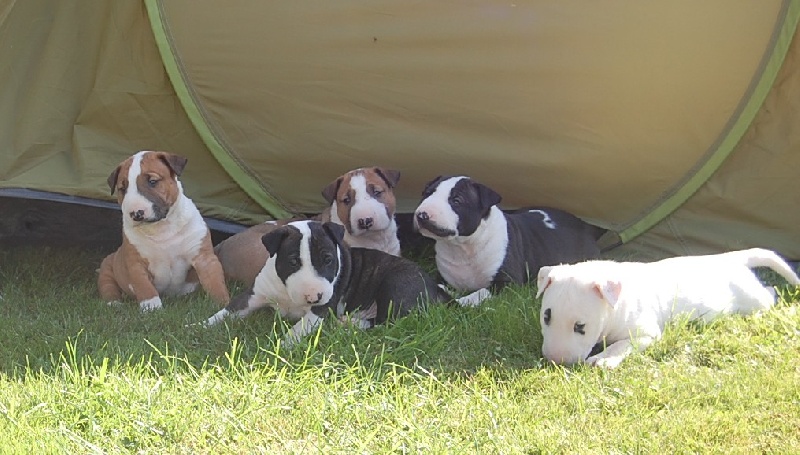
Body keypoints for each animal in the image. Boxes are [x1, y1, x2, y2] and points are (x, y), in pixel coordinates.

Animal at [96, 151, 231, 312]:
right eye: (122, 189)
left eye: (152, 181)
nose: (136, 213)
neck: (161, 228)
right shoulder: (135, 264)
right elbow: (144, 287)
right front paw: (152, 308)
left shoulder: (204, 258)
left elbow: (215, 282)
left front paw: (223, 305)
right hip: (107, 270)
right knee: (108, 289)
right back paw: (115, 304)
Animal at [203, 219, 446, 344]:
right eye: (293, 261)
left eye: (328, 259)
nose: (313, 297)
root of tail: (436, 288)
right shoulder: (253, 295)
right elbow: (226, 312)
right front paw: (200, 326)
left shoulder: (321, 309)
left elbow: (297, 329)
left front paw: (282, 345)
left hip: (396, 284)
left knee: (387, 322)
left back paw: (347, 325)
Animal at [416, 177, 604, 302]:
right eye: (426, 194)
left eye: (456, 200)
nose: (421, 215)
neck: (462, 247)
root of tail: (585, 226)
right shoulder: (443, 277)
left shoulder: (508, 284)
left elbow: (479, 293)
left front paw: (461, 302)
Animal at [536, 249, 800, 370]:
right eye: (546, 316)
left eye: (580, 326)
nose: (555, 360)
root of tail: (732, 260)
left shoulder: (645, 332)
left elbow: (621, 344)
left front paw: (603, 360)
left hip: (752, 298)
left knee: (770, 292)